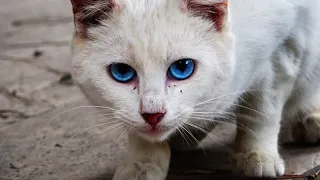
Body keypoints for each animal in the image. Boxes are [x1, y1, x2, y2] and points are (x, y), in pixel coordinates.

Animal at [69, 0, 320, 179]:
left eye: (182, 68)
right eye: (121, 72)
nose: (153, 115)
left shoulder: (286, 46)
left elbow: (263, 110)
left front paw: (257, 154)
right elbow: (139, 131)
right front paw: (142, 163)